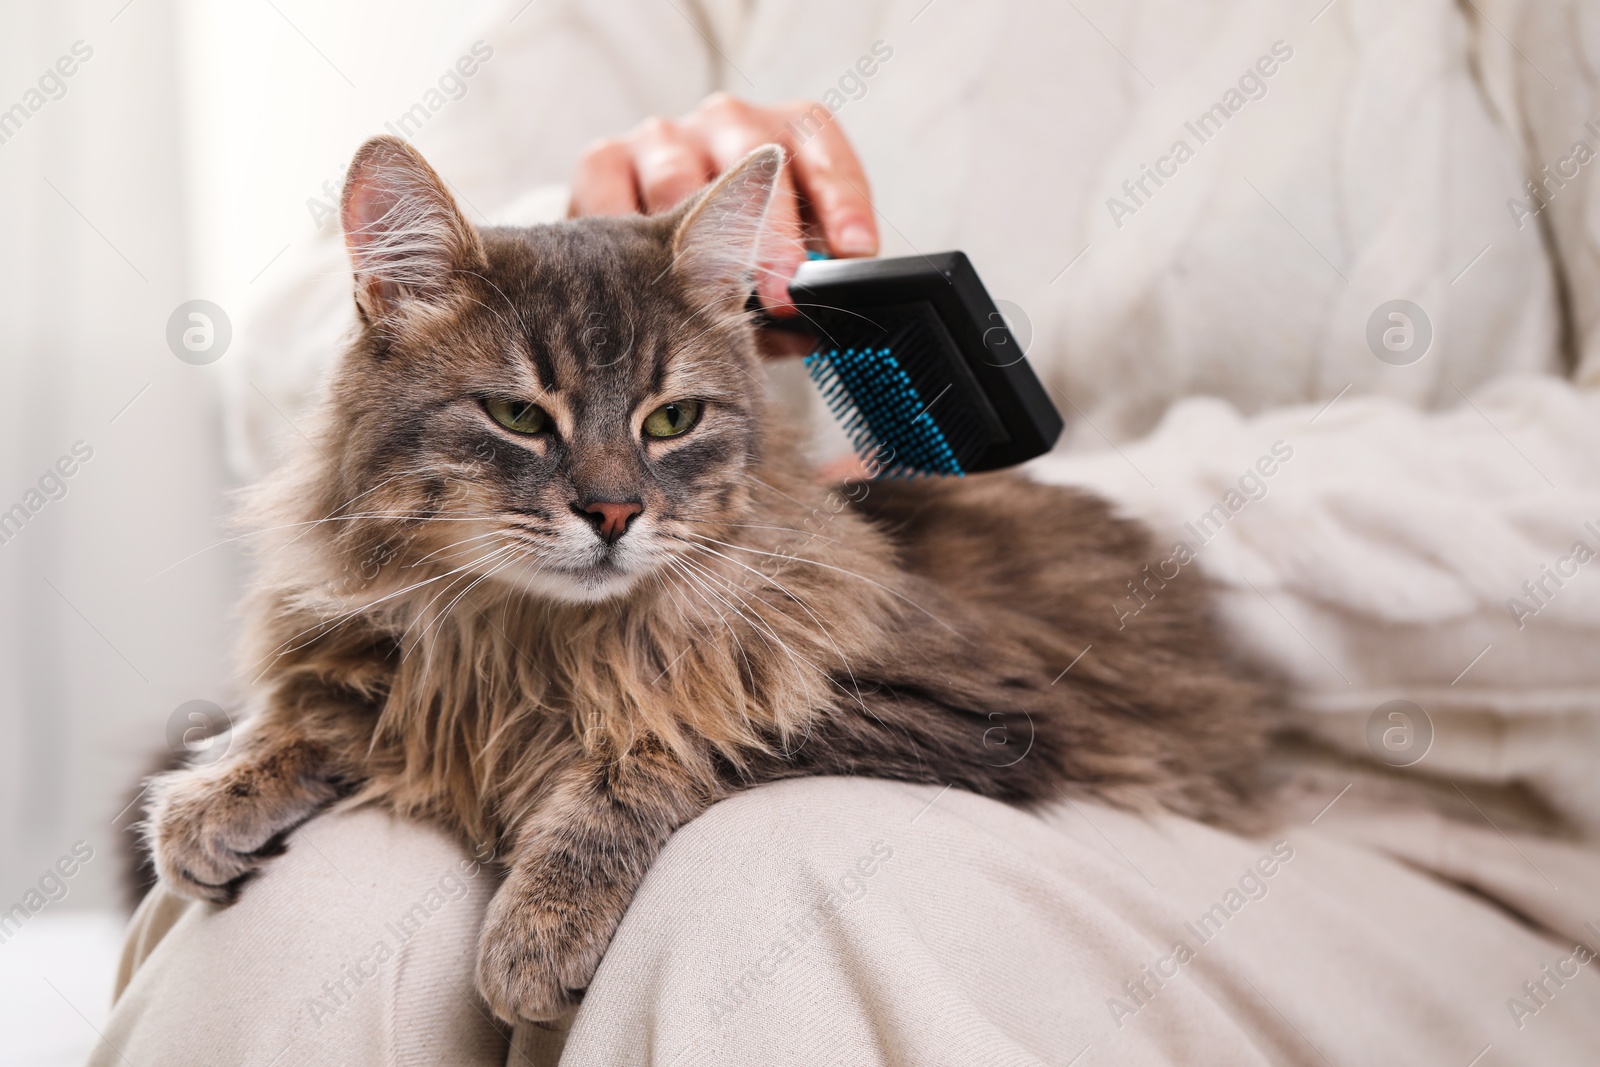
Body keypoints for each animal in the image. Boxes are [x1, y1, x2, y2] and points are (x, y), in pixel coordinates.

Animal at [147, 137, 1273, 1023]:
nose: (611, 513)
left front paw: (539, 920)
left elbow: (664, 742)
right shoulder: (409, 658)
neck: (528, 640)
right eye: (517, 416)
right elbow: (337, 704)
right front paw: (216, 790)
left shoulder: (956, 710)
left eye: (672, 420)